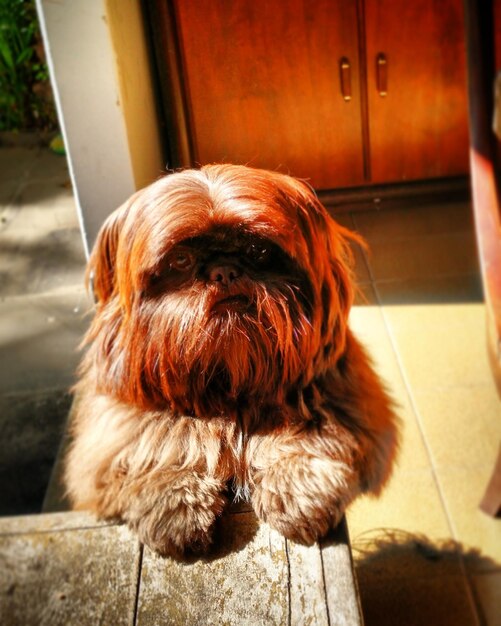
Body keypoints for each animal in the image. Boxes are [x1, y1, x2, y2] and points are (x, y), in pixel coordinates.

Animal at [64, 163, 396, 552]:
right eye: (181, 259)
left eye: (257, 248)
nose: (223, 270)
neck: (228, 377)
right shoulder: (123, 418)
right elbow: (159, 440)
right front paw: (174, 495)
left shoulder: (335, 397)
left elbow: (308, 431)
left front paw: (296, 486)